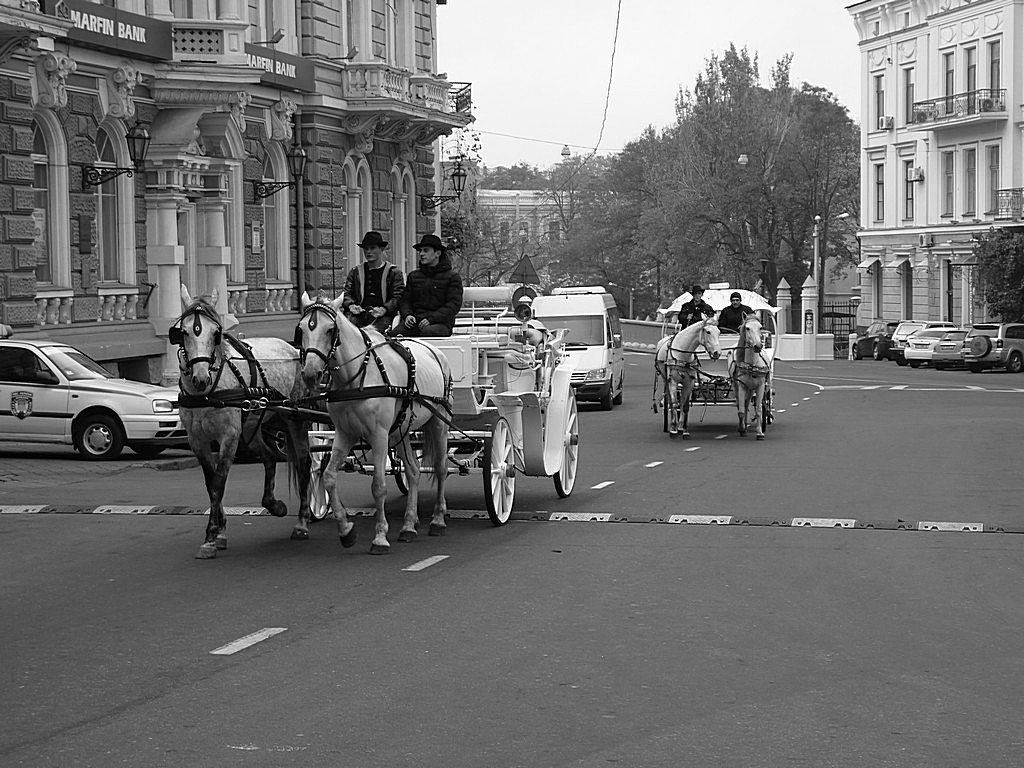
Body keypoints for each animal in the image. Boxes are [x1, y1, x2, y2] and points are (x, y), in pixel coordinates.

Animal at [172, 286, 311, 557]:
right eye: (183, 332)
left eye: (216, 334)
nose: (200, 379)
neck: (209, 393)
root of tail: (292, 349)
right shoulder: (197, 440)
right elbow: (210, 484)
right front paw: (220, 532)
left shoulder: (229, 436)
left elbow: (219, 483)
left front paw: (211, 536)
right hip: (251, 428)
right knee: (269, 457)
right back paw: (274, 504)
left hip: (294, 418)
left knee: (303, 462)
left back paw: (301, 522)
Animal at [294, 292, 450, 552]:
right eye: (302, 329)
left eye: (329, 330)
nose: (310, 374)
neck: (357, 376)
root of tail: (435, 350)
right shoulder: (345, 433)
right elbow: (328, 476)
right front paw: (346, 530)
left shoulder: (378, 435)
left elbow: (378, 486)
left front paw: (380, 536)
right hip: (400, 431)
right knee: (413, 471)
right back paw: (408, 525)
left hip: (439, 424)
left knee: (440, 468)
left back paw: (438, 520)